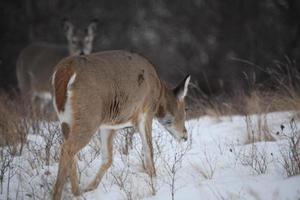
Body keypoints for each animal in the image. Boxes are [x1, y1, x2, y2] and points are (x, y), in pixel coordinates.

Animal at [50, 49, 189, 198]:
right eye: (186, 109)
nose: (185, 135)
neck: (159, 94)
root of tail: (65, 70)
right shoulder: (145, 112)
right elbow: (149, 150)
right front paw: (154, 184)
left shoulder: (109, 124)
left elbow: (108, 158)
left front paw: (90, 187)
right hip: (89, 116)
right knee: (67, 148)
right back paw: (60, 194)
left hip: (66, 121)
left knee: (71, 152)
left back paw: (78, 193)